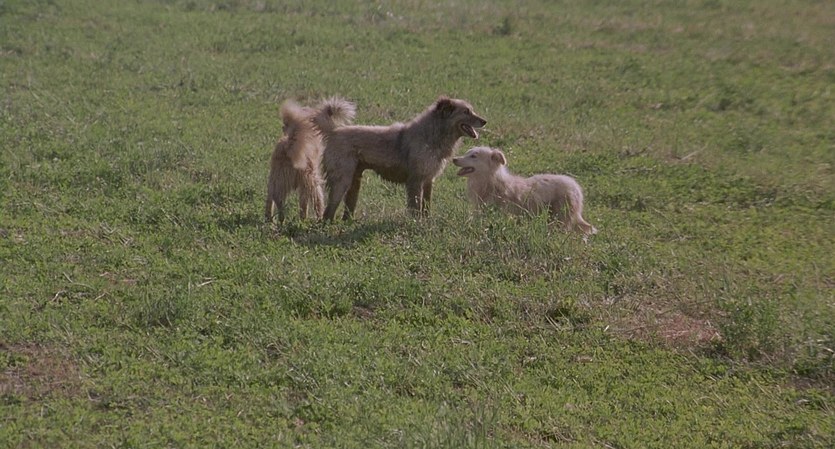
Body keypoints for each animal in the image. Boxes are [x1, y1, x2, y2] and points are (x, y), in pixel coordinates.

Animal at [312, 96, 487, 220]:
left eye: (471, 110)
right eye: (466, 112)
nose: (485, 121)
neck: (433, 134)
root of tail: (335, 131)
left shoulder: (428, 180)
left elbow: (426, 205)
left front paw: (426, 221)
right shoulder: (415, 180)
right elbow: (415, 206)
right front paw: (416, 223)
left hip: (354, 182)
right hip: (342, 180)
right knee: (328, 212)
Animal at [452, 146, 597, 235]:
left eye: (474, 156)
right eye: (467, 153)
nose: (454, 159)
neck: (492, 183)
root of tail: (576, 186)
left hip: (561, 216)